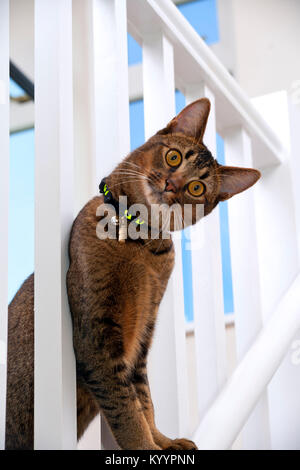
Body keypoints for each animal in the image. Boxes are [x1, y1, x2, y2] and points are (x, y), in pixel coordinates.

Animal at [4, 98, 260, 448]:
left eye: (196, 188)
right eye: (173, 156)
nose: (171, 186)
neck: (140, 244)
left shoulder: (141, 334)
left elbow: (142, 398)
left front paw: (162, 441)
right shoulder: (96, 334)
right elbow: (125, 408)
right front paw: (146, 446)